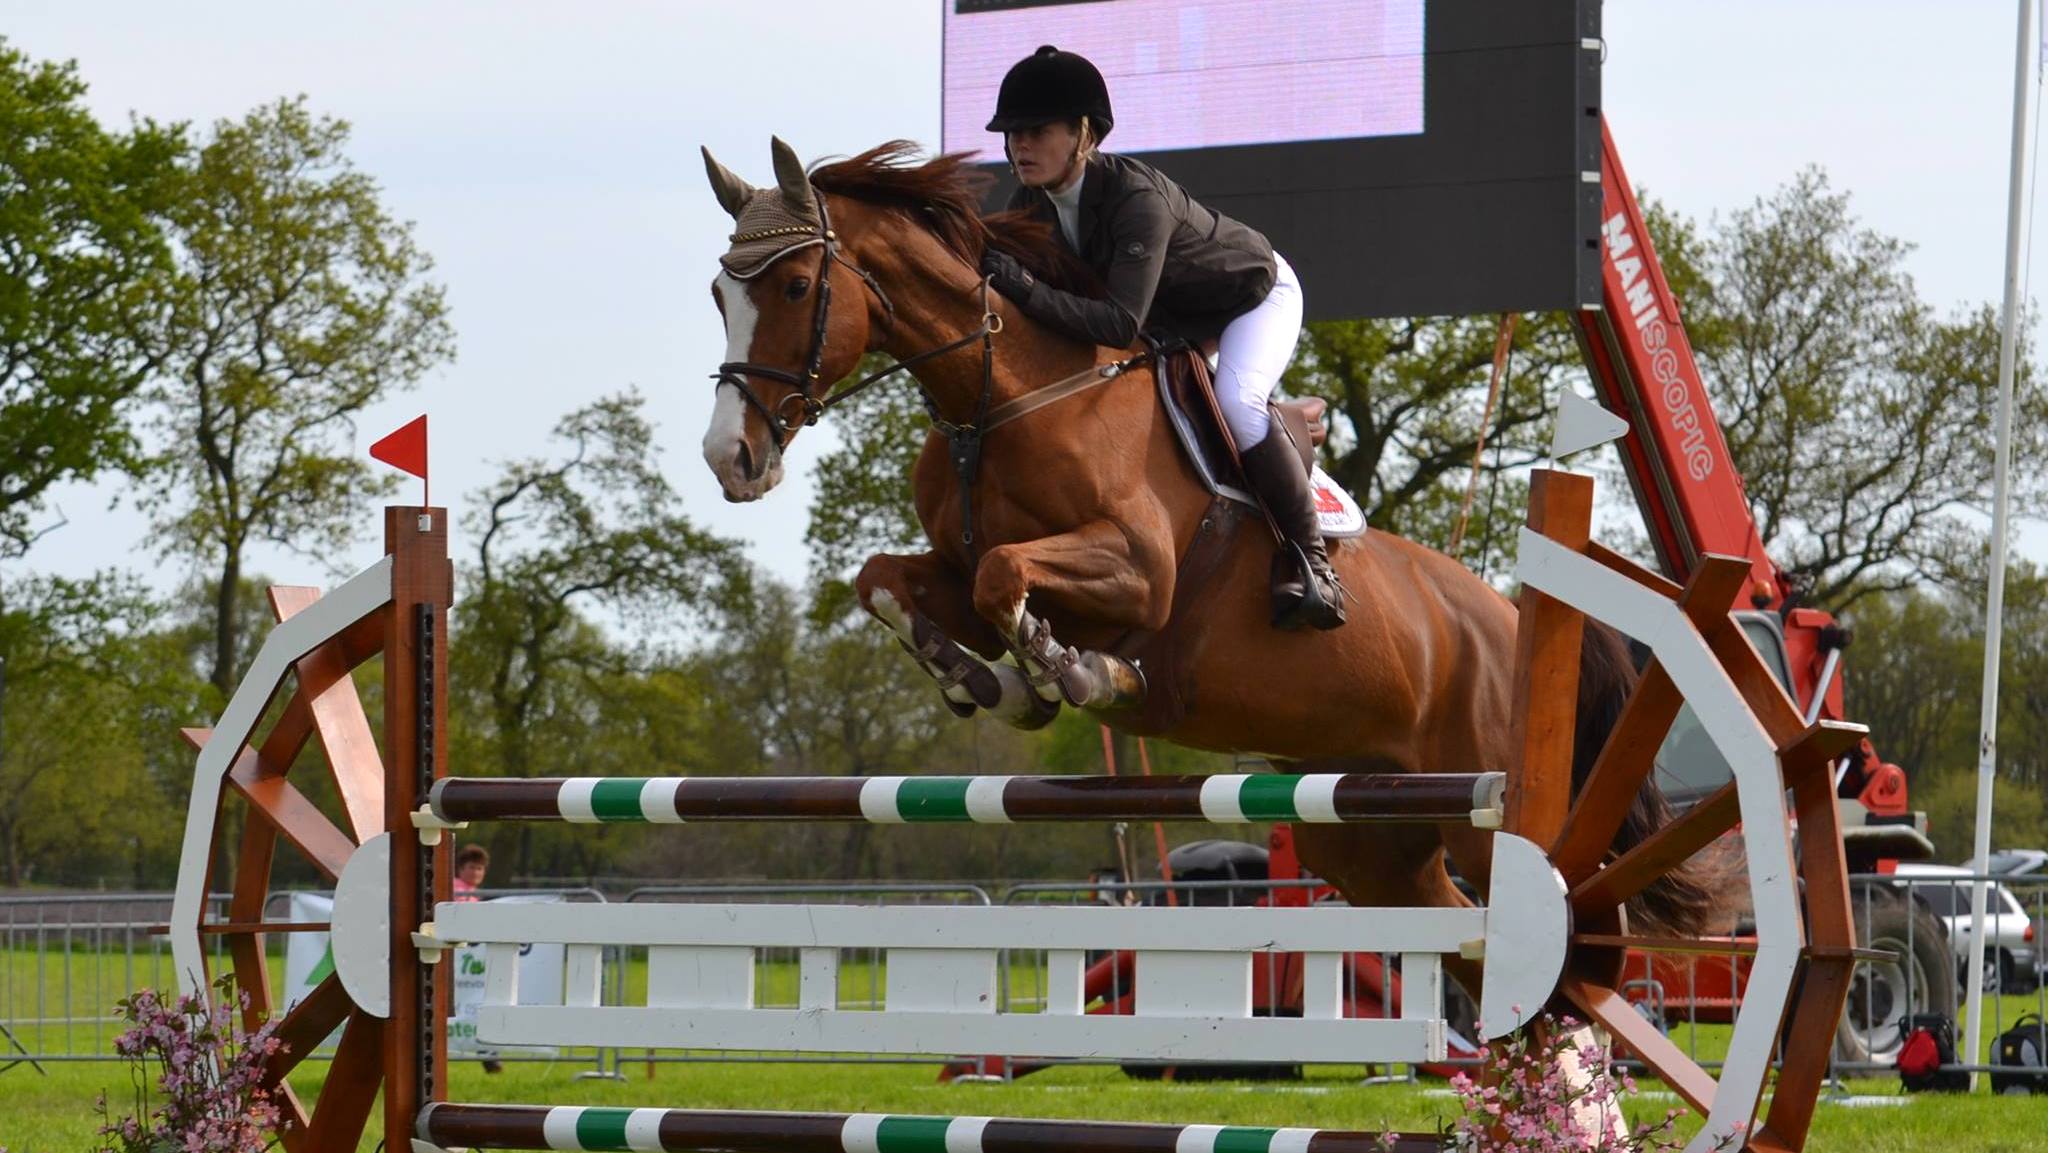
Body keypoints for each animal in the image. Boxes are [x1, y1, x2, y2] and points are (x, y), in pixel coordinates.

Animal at [704, 140, 1712, 995]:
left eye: (796, 283)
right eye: (720, 293)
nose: (731, 459)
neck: (1003, 396)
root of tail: (1513, 620)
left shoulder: (1138, 570)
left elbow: (1005, 580)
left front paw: (1072, 674)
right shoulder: (950, 563)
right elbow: (890, 577)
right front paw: (983, 683)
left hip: (1494, 807)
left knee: (1577, 938)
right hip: (1371, 835)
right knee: (1457, 932)